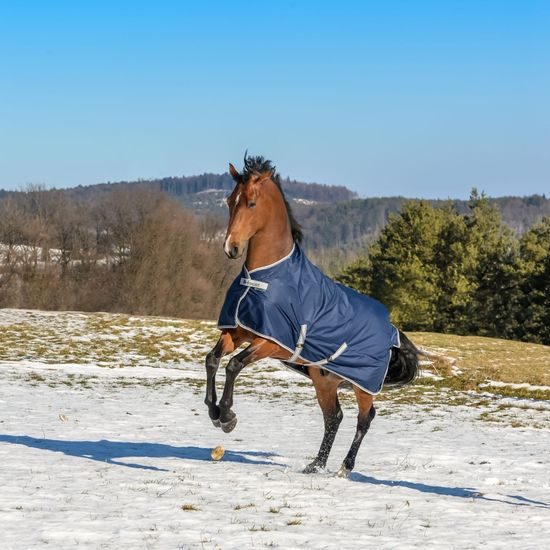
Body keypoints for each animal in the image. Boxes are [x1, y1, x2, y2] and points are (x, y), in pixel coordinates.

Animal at [205, 155, 420, 478]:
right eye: (231, 201)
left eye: (251, 203)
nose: (231, 247)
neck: (263, 277)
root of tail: (391, 329)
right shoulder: (238, 331)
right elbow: (213, 359)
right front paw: (214, 410)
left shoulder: (273, 342)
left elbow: (234, 365)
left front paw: (227, 416)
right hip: (324, 380)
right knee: (334, 416)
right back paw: (315, 465)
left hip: (363, 385)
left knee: (365, 417)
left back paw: (344, 467)